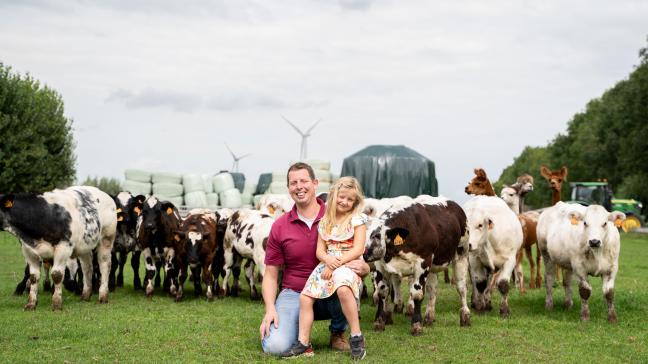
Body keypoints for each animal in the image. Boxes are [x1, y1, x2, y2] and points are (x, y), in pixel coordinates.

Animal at [362, 198, 468, 336]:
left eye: (376, 236)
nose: (364, 254)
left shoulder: (422, 263)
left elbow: (417, 294)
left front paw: (416, 325)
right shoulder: (380, 266)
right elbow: (381, 292)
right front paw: (379, 322)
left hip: (462, 255)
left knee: (461, 287)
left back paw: (465, 316)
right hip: (433, 266)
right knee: (432, 289)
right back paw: (429, 317)